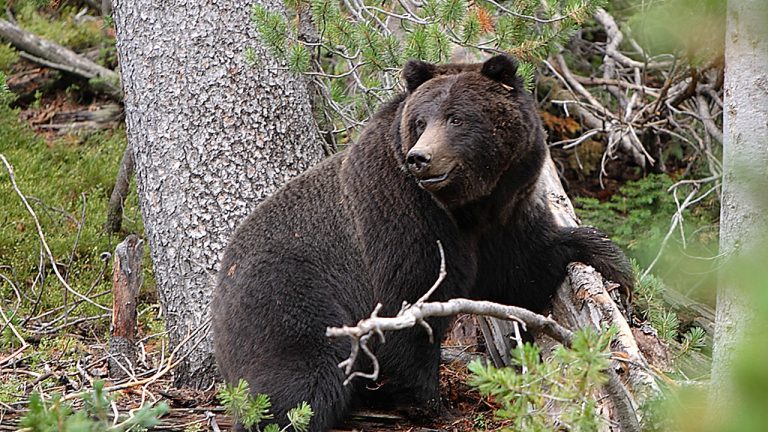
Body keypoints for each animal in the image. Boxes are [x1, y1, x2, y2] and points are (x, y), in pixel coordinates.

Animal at [211, 54, 632, 432]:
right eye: (420, 121)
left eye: (457, 117)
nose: (421, 158)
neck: (467, 207)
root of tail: (218, 294)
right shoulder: (404, 214)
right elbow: (411, 303)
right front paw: (433, 405)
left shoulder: (505, 216)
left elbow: (522, 271)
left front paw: (607, 256)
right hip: (289, 296)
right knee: (305, 375)